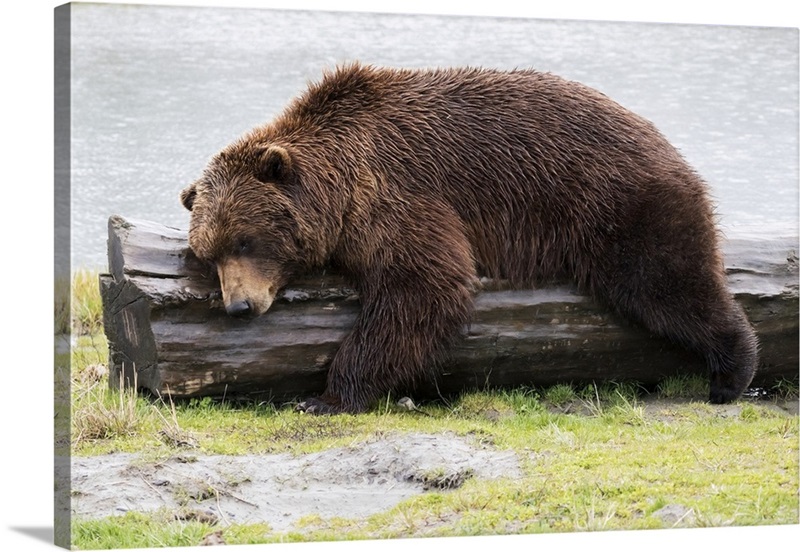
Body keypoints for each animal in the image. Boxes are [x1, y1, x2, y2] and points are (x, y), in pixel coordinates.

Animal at [180, 62, 758, 414]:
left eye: (245, 240)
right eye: (209, 253)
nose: (239, 306)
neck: (339, 185)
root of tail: (665, 140)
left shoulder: (398, 194)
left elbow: (423, 285)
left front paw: (327, 396)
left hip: (617, 203)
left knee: (665, 280)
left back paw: (731, 371)